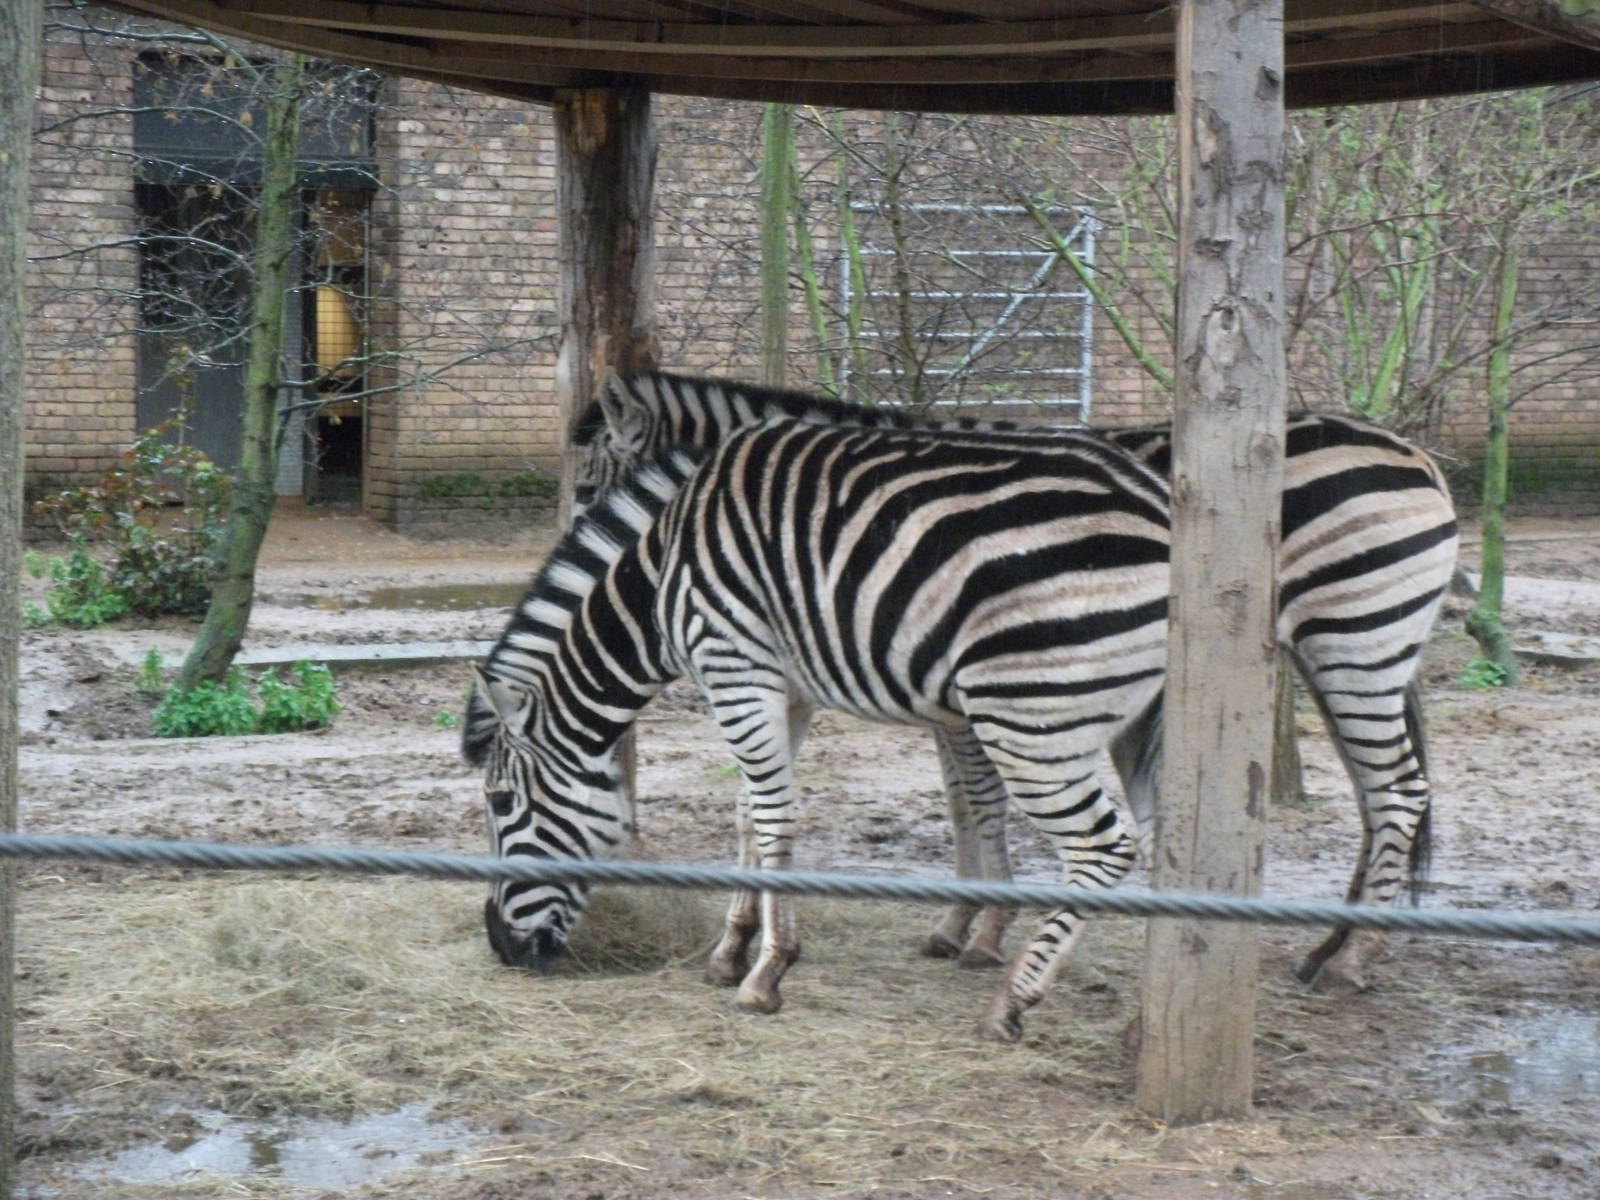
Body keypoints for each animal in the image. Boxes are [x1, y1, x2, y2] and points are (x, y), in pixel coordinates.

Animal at [467, 418, 1173, 1041]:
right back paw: (1148, 1015)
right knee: (1165, 843)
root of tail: (1160, 506)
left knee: (1102, 847)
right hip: (1137, 721)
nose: (500, 946)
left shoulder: (734, 665)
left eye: (500, 803)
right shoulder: (787, 688)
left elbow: (774, 815)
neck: (664, 570)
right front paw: (731, 950)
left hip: (1028, 714)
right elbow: (747, 811)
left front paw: (768, 972)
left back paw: (1010, 1004)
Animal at [573, 369, 1460, 992]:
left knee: (1398, 791)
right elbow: (958, 803)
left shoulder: (957, 681)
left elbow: (976, 801)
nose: (614, 580)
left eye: (586, 488)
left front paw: (982, 931)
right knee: (1380, 795)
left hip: (1354, 641)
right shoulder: (941, 687)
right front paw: (961, 923)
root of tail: (1416, 454)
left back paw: (1351, 961)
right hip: (1343, 653)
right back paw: (1330, 944)